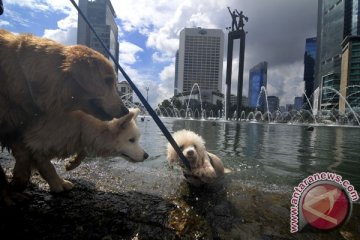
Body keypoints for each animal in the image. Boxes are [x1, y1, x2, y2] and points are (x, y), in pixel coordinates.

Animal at [13, 108, 148, 192]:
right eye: (131, 140)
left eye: (136, 139)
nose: (146, 155)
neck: (82, 123)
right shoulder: (37, 141)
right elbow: (47, 166)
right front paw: (58, 183)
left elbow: (83, 152)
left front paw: (72, 163)